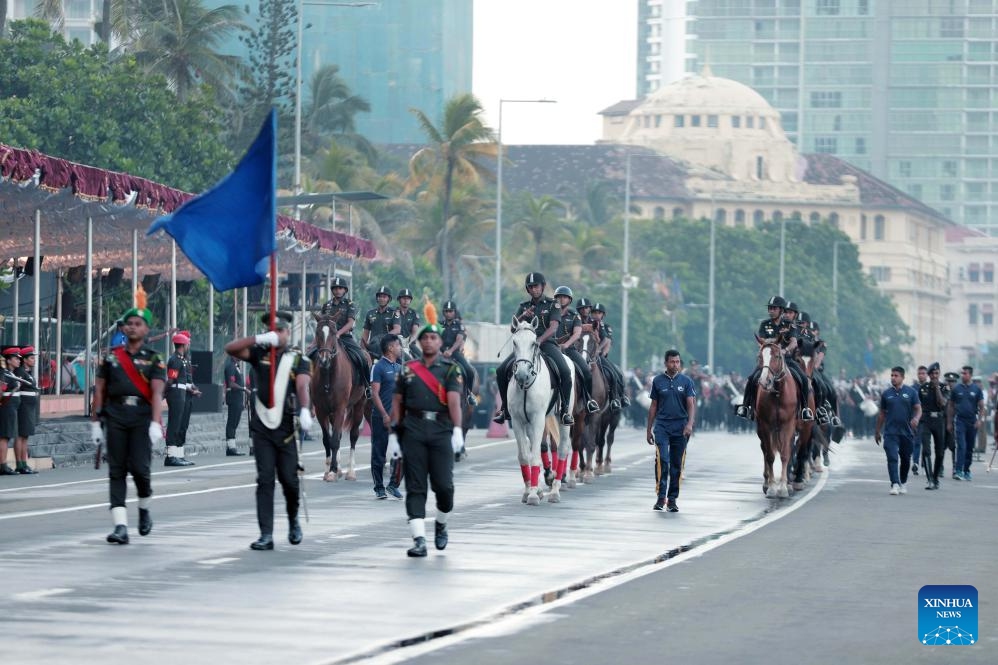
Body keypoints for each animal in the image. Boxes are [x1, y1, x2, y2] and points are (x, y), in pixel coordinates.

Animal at [312, 314, 368, 480]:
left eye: (333, 332)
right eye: (317, 332)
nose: (324, 360)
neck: (328, 375)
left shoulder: (340, 408)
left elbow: (335, 440)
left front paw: (332, 471)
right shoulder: (321, 410)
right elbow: (327, 440)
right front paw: (329, 470)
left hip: (359, 406)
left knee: (353, 435)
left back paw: (350, 471)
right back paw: (340, 469)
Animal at [512, 320, 576, 504]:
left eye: (534, 343)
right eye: (514, 342)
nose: (521, 374)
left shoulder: (538, 420)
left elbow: (535, 456)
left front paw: (533, 494)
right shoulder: (517, 421)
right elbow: (524, 455)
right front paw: (529, 491)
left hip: (563, 417)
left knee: (563, 448)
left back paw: (555, 490)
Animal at [756, 340, 796, 496]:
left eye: (777, 356)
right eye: (760, 357)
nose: (764, 381)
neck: (778, 394)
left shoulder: (788, 425)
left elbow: (785, 454)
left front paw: (784, 487)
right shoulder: (766, 425)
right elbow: (770, 455)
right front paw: (772, 487)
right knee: (765, 449)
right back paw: (766, 483)